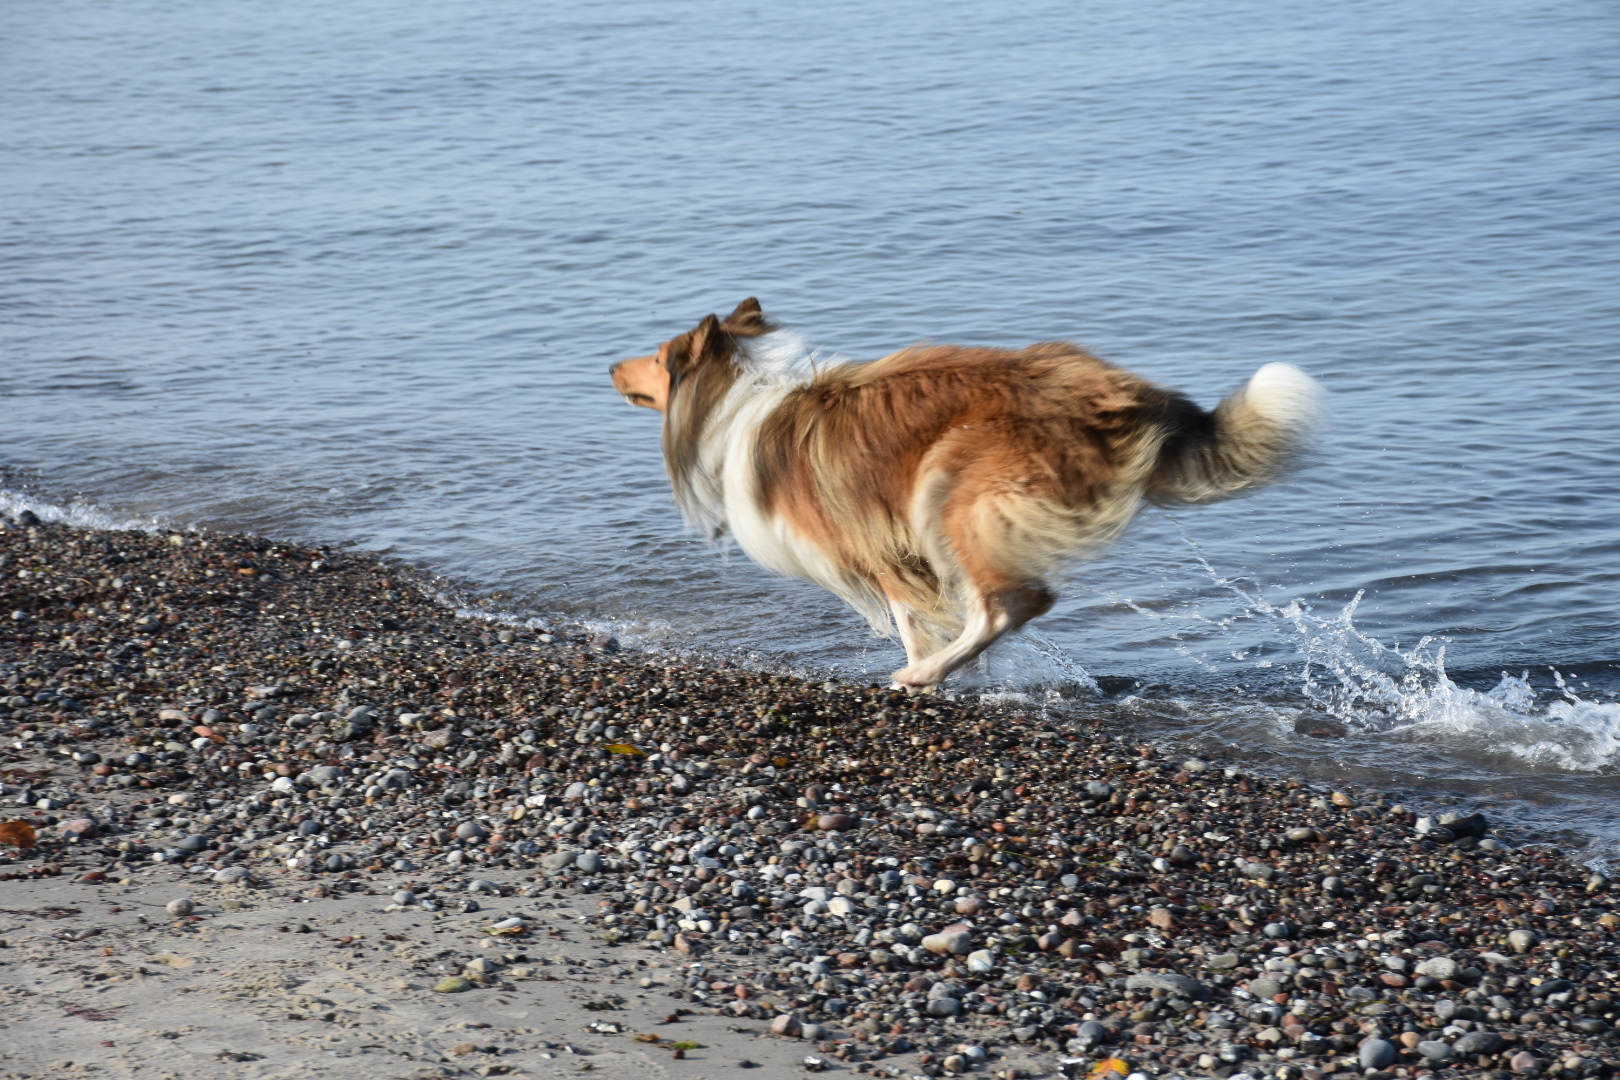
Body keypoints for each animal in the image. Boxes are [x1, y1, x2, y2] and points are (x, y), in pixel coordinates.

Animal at [612, 299, 1321, 689]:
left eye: (658, 357)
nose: (611, 366)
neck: (738, 399)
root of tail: (1121, 395)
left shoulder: (870, 541)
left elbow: (910, 617)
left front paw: (932, 666)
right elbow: (929, 611)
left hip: (949, 488)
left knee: (1014, 603)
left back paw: (925, 675)